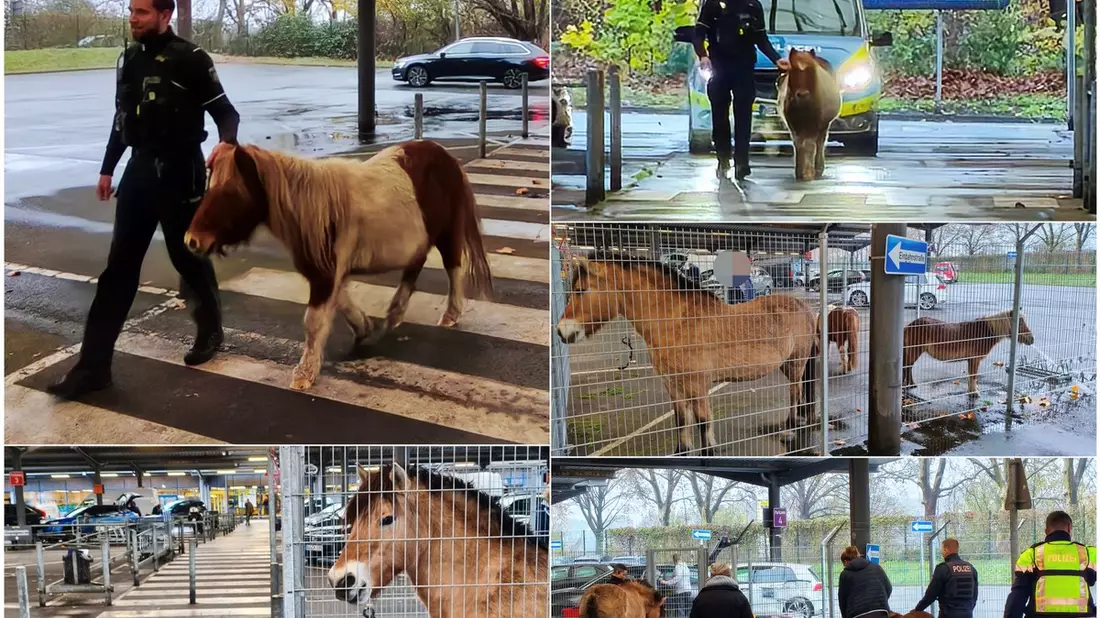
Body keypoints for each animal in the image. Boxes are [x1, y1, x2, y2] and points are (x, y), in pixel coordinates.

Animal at [184, 140, 494, 391]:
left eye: (229, 192)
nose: (191, 240)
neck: (314, 207)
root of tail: (445, 155)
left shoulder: (326, 273)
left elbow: (314, 321)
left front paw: (304, 375)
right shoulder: (328, 271)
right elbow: (341, 300)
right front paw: (363, 327)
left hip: (447, 232)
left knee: (453, 266)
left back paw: (451, 314)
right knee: (414, 266)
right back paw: (395, 313)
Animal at [556, 251, 819, 456]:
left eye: (580, 290)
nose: (561, 331)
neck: (678, 321)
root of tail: (804, 307)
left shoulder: (697, 385)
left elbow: (703, 423)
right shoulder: (673, 385)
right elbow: (682, 421)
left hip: (796, 364)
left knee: (795, 394)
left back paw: (790, 430)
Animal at [777, 48, 842, 181]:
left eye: (812, 70)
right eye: (793, 69)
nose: (802, 94)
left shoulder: (815, 124)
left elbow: (810, 145)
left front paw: (808, 173)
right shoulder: (793, 125)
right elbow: (799, 144)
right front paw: (800, 171)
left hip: (824, 125)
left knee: (820, 143)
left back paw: (818, 168)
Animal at [902, 309, 1035, 395]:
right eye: (1020, 323)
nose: (1031, 339)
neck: (985, 332)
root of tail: (910, 325)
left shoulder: (971, 360)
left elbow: (972, 375)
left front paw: (973, 389)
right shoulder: (975, 359)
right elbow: (973, 375)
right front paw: (974, 392)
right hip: (914, 351)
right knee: (907, 367)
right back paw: (910, 385)